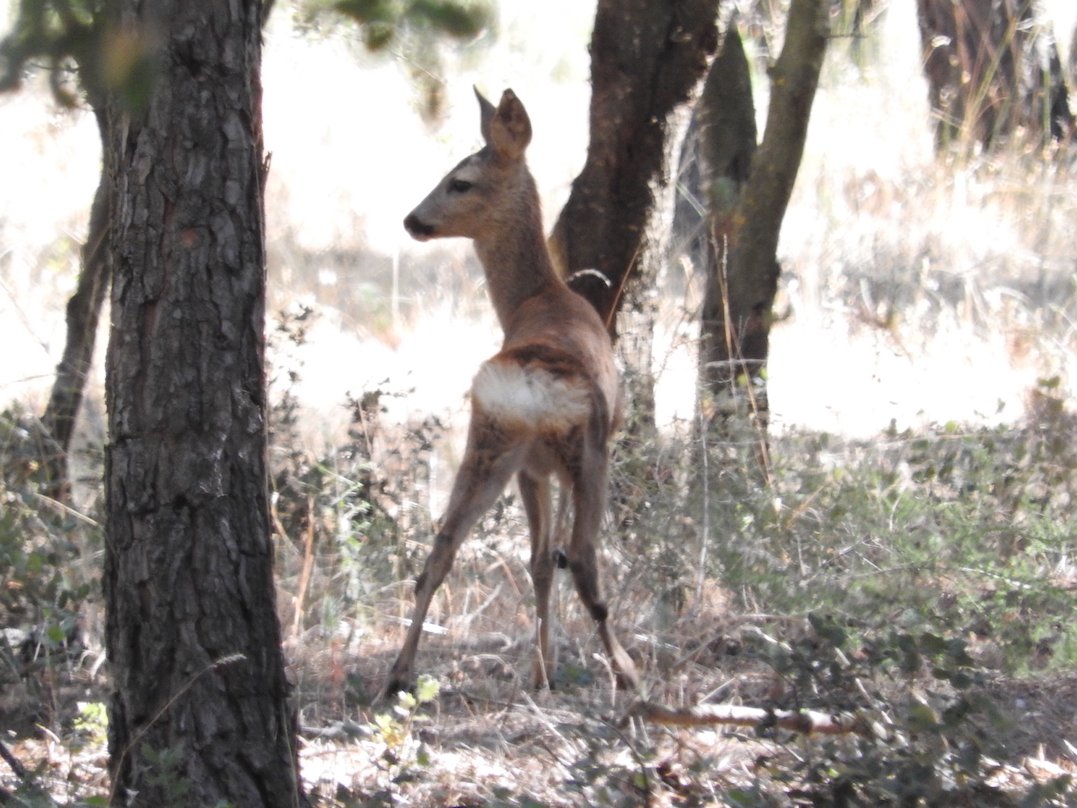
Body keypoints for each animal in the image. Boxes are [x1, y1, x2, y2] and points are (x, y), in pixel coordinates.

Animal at [387, 88, 639, 696]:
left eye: (459, 181)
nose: (412, 219)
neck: (538, 299)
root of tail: (526, 383)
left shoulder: (532, 467)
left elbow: (540, 561)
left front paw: (541, 668)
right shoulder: (577, 455)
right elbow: (555, 557)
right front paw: (548, 665)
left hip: (490, 444)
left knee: (440, 549)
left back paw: (398, 675)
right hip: (585, 451)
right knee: (585, 558)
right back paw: (629, 675)